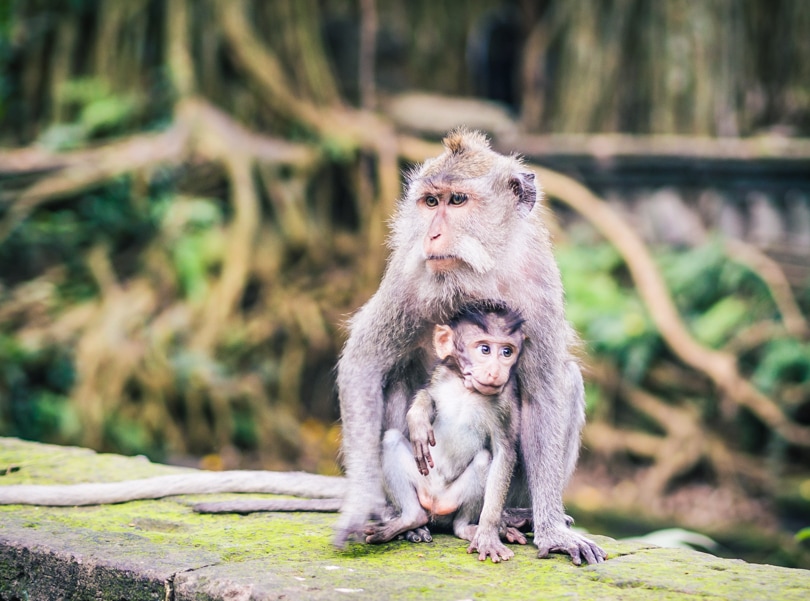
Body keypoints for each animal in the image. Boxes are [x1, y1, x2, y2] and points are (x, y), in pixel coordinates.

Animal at [364, 302, 524, 560]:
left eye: (507, 352)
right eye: (485, 349)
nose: (495, 371)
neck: (468, 389)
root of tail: (435, 505)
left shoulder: (506, 401)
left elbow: (504, 452)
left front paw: (488, 534)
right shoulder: (443, 373)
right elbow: (429, 394)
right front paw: (418, 416)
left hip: (451, 502)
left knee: (483, 460)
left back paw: (466, 527)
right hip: (421, 485)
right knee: (390, 439)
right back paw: (409, 519)